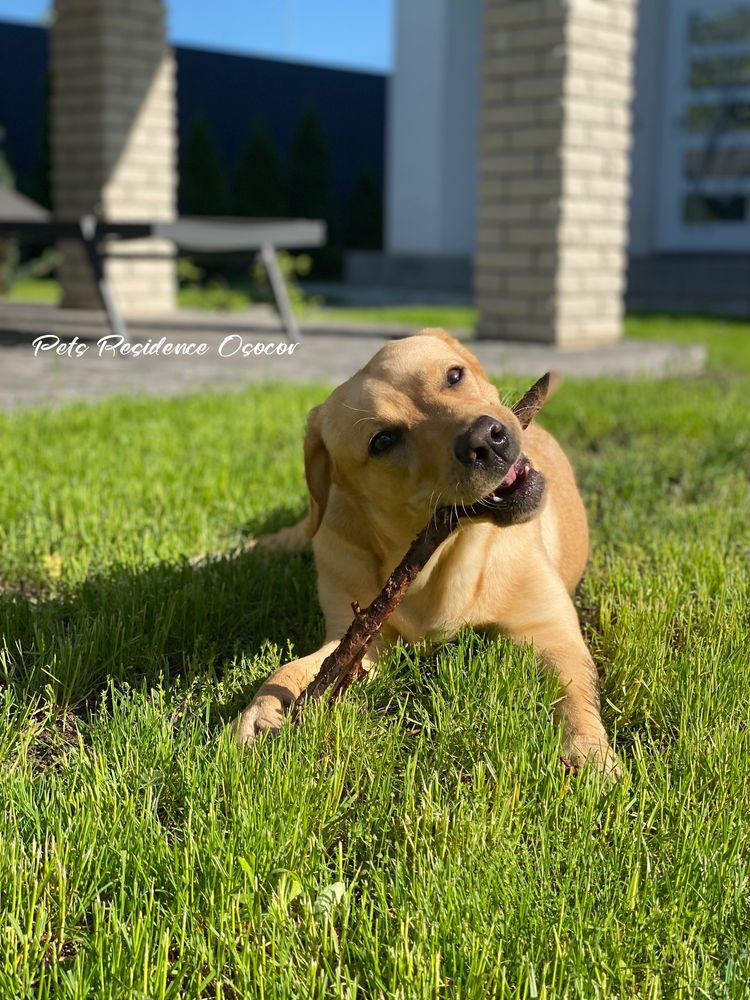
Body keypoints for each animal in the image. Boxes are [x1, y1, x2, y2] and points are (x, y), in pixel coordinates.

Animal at [236, 328, 616, 772]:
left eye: (454, 375)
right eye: (383, 440)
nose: (485, 440)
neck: (438, 558)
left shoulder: (550, 629)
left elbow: (574, 695)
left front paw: (590, 753)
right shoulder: (359, 640)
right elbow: (293, 669)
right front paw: (264, 710)